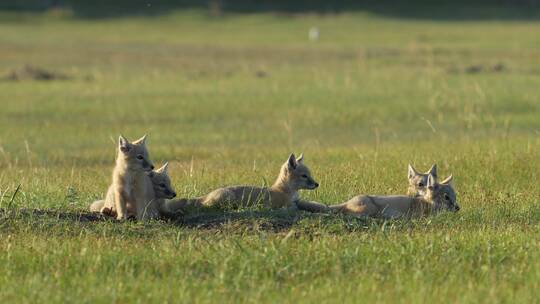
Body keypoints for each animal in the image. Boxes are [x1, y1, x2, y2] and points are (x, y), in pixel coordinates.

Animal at [162, 153, 318, 215]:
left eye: (310, 175)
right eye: (304, 176)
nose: (317, 184)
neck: (284, 190)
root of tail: (206, 195)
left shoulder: (297, 202)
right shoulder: (285, 205)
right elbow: (295, 209)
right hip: (227, 198)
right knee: (207, 207)